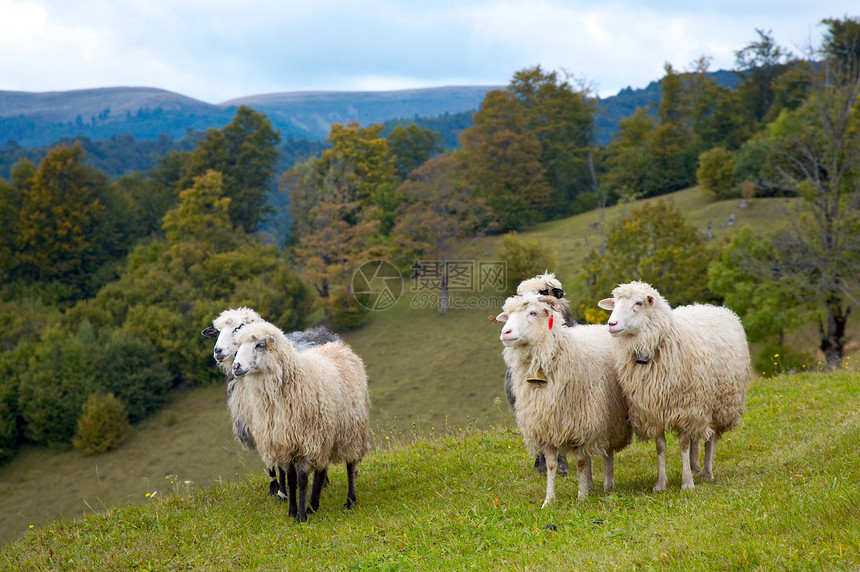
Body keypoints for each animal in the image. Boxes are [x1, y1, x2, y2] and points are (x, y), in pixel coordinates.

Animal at [232, 320, 370, 520]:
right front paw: (292, 511)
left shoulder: (308, 439)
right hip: (327, 434)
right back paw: (314, 504)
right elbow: (291, 480)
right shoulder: (285, 441)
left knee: (350, 466)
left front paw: (301, 516)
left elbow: (303, 479)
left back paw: (349, 501)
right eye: (239, 346)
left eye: (260, 344)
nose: (236, 366)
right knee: (321, 469)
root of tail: (338, 346)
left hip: (351, 429)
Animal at [498, 294, 632, 504]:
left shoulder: (583, 422)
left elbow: (581, 462)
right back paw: (590, 484)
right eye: (508, 315)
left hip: (611, 417)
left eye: (533, 312)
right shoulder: (546, 426)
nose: (505, 332)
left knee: (607, 452)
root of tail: (599, 326)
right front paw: (549, 500)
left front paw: (582, 498)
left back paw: (607, 484)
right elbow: (552, 465)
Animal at [600, 282, 748, 492]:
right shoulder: (654, 410)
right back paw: (694, 467)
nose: (611, 324)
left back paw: (706, 472)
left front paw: (687, 483)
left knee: (710, 438)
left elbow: (684, 444)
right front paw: (661, 483)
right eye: (614, 303)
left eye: (638, 303)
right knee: (698, 437)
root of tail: (712, 307)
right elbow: (660, 447)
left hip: (719, 403)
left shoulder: (684, 407)